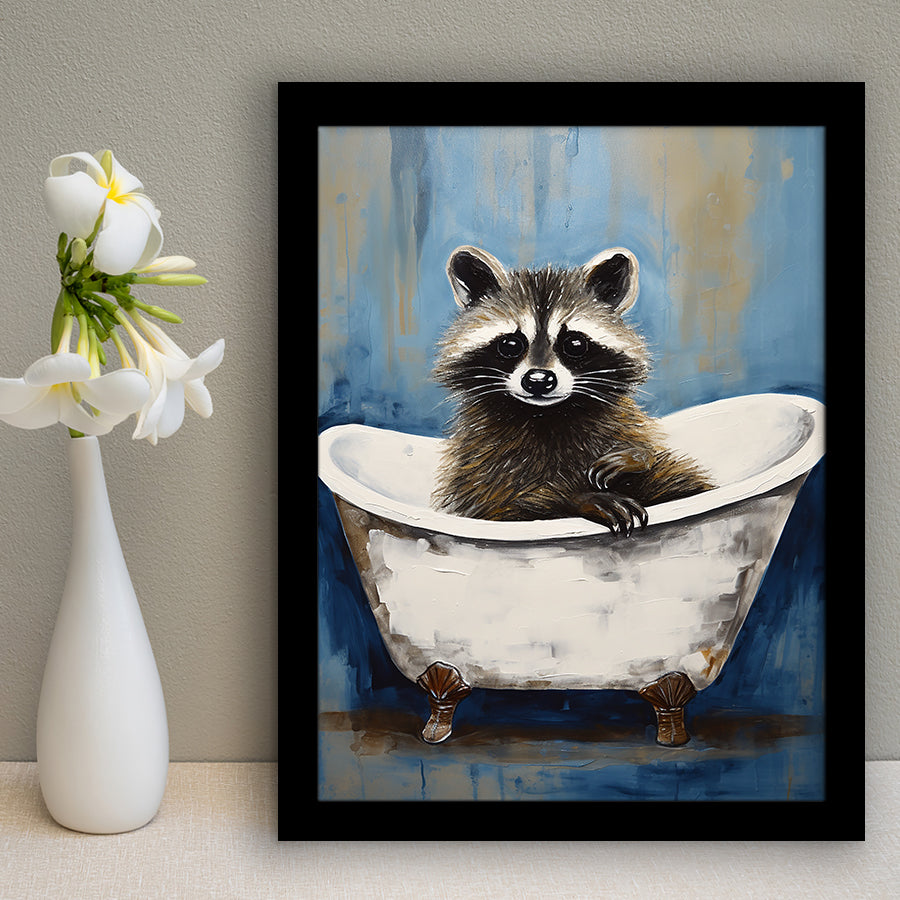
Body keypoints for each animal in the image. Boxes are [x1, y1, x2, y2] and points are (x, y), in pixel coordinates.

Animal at [431, 245, 714, 534]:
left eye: (574, 344)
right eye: (510, 344)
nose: (538, 380)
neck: (547, 414)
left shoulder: (622, 423)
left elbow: (669, 468)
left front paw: (637, 457)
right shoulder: (482, 460)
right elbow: (507, 504)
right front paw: (581, 498)